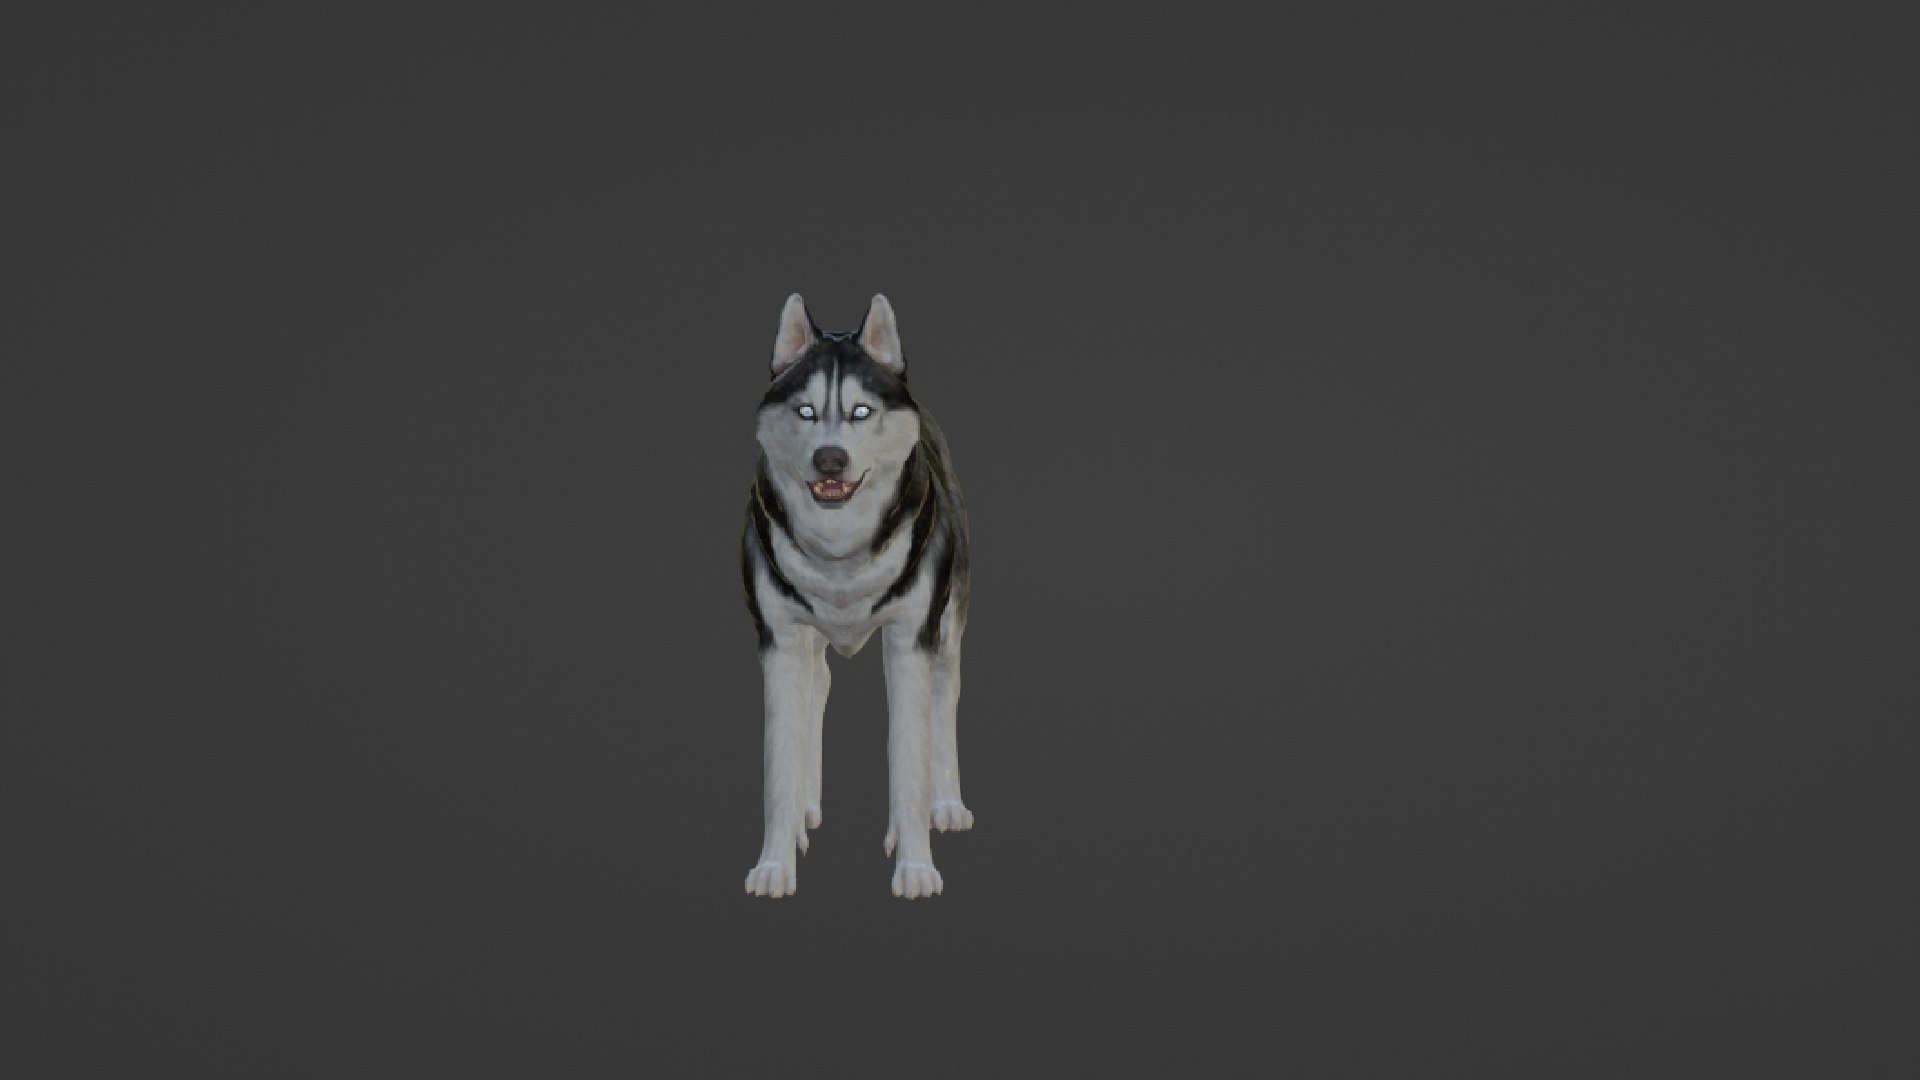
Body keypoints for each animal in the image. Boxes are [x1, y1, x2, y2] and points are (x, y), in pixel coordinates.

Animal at [740, 294, 972, 899]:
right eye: (805, 412)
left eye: (862, 412)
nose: (830, 459)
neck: (839, 550)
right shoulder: (779, 640)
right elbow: (779, 763)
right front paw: (775, 862)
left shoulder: (911, 639)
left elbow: (910, 758)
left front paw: (915, 867)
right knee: (817, 686)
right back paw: (806, 810)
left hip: (947, 628)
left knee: (942, 700)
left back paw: (946, 803)